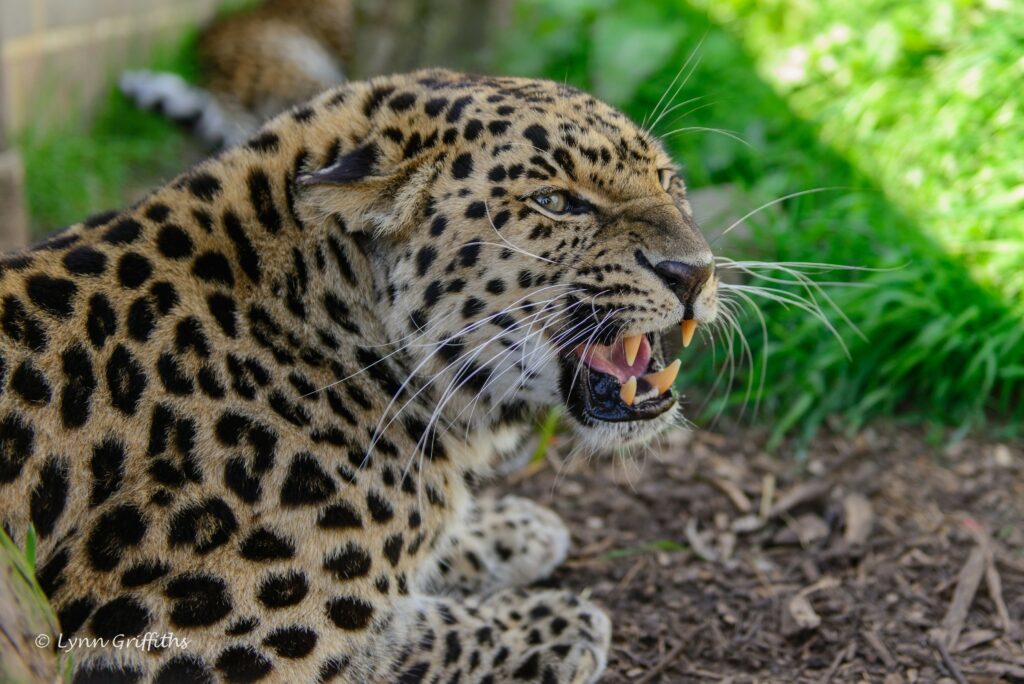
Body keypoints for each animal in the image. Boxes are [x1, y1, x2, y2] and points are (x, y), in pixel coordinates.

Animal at [0, 68, 719, 683]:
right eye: (555, 202)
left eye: (668, 181)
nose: (695, 272)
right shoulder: (163, 645)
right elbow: (406, 639)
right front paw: (558, 621)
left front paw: (513, 528)